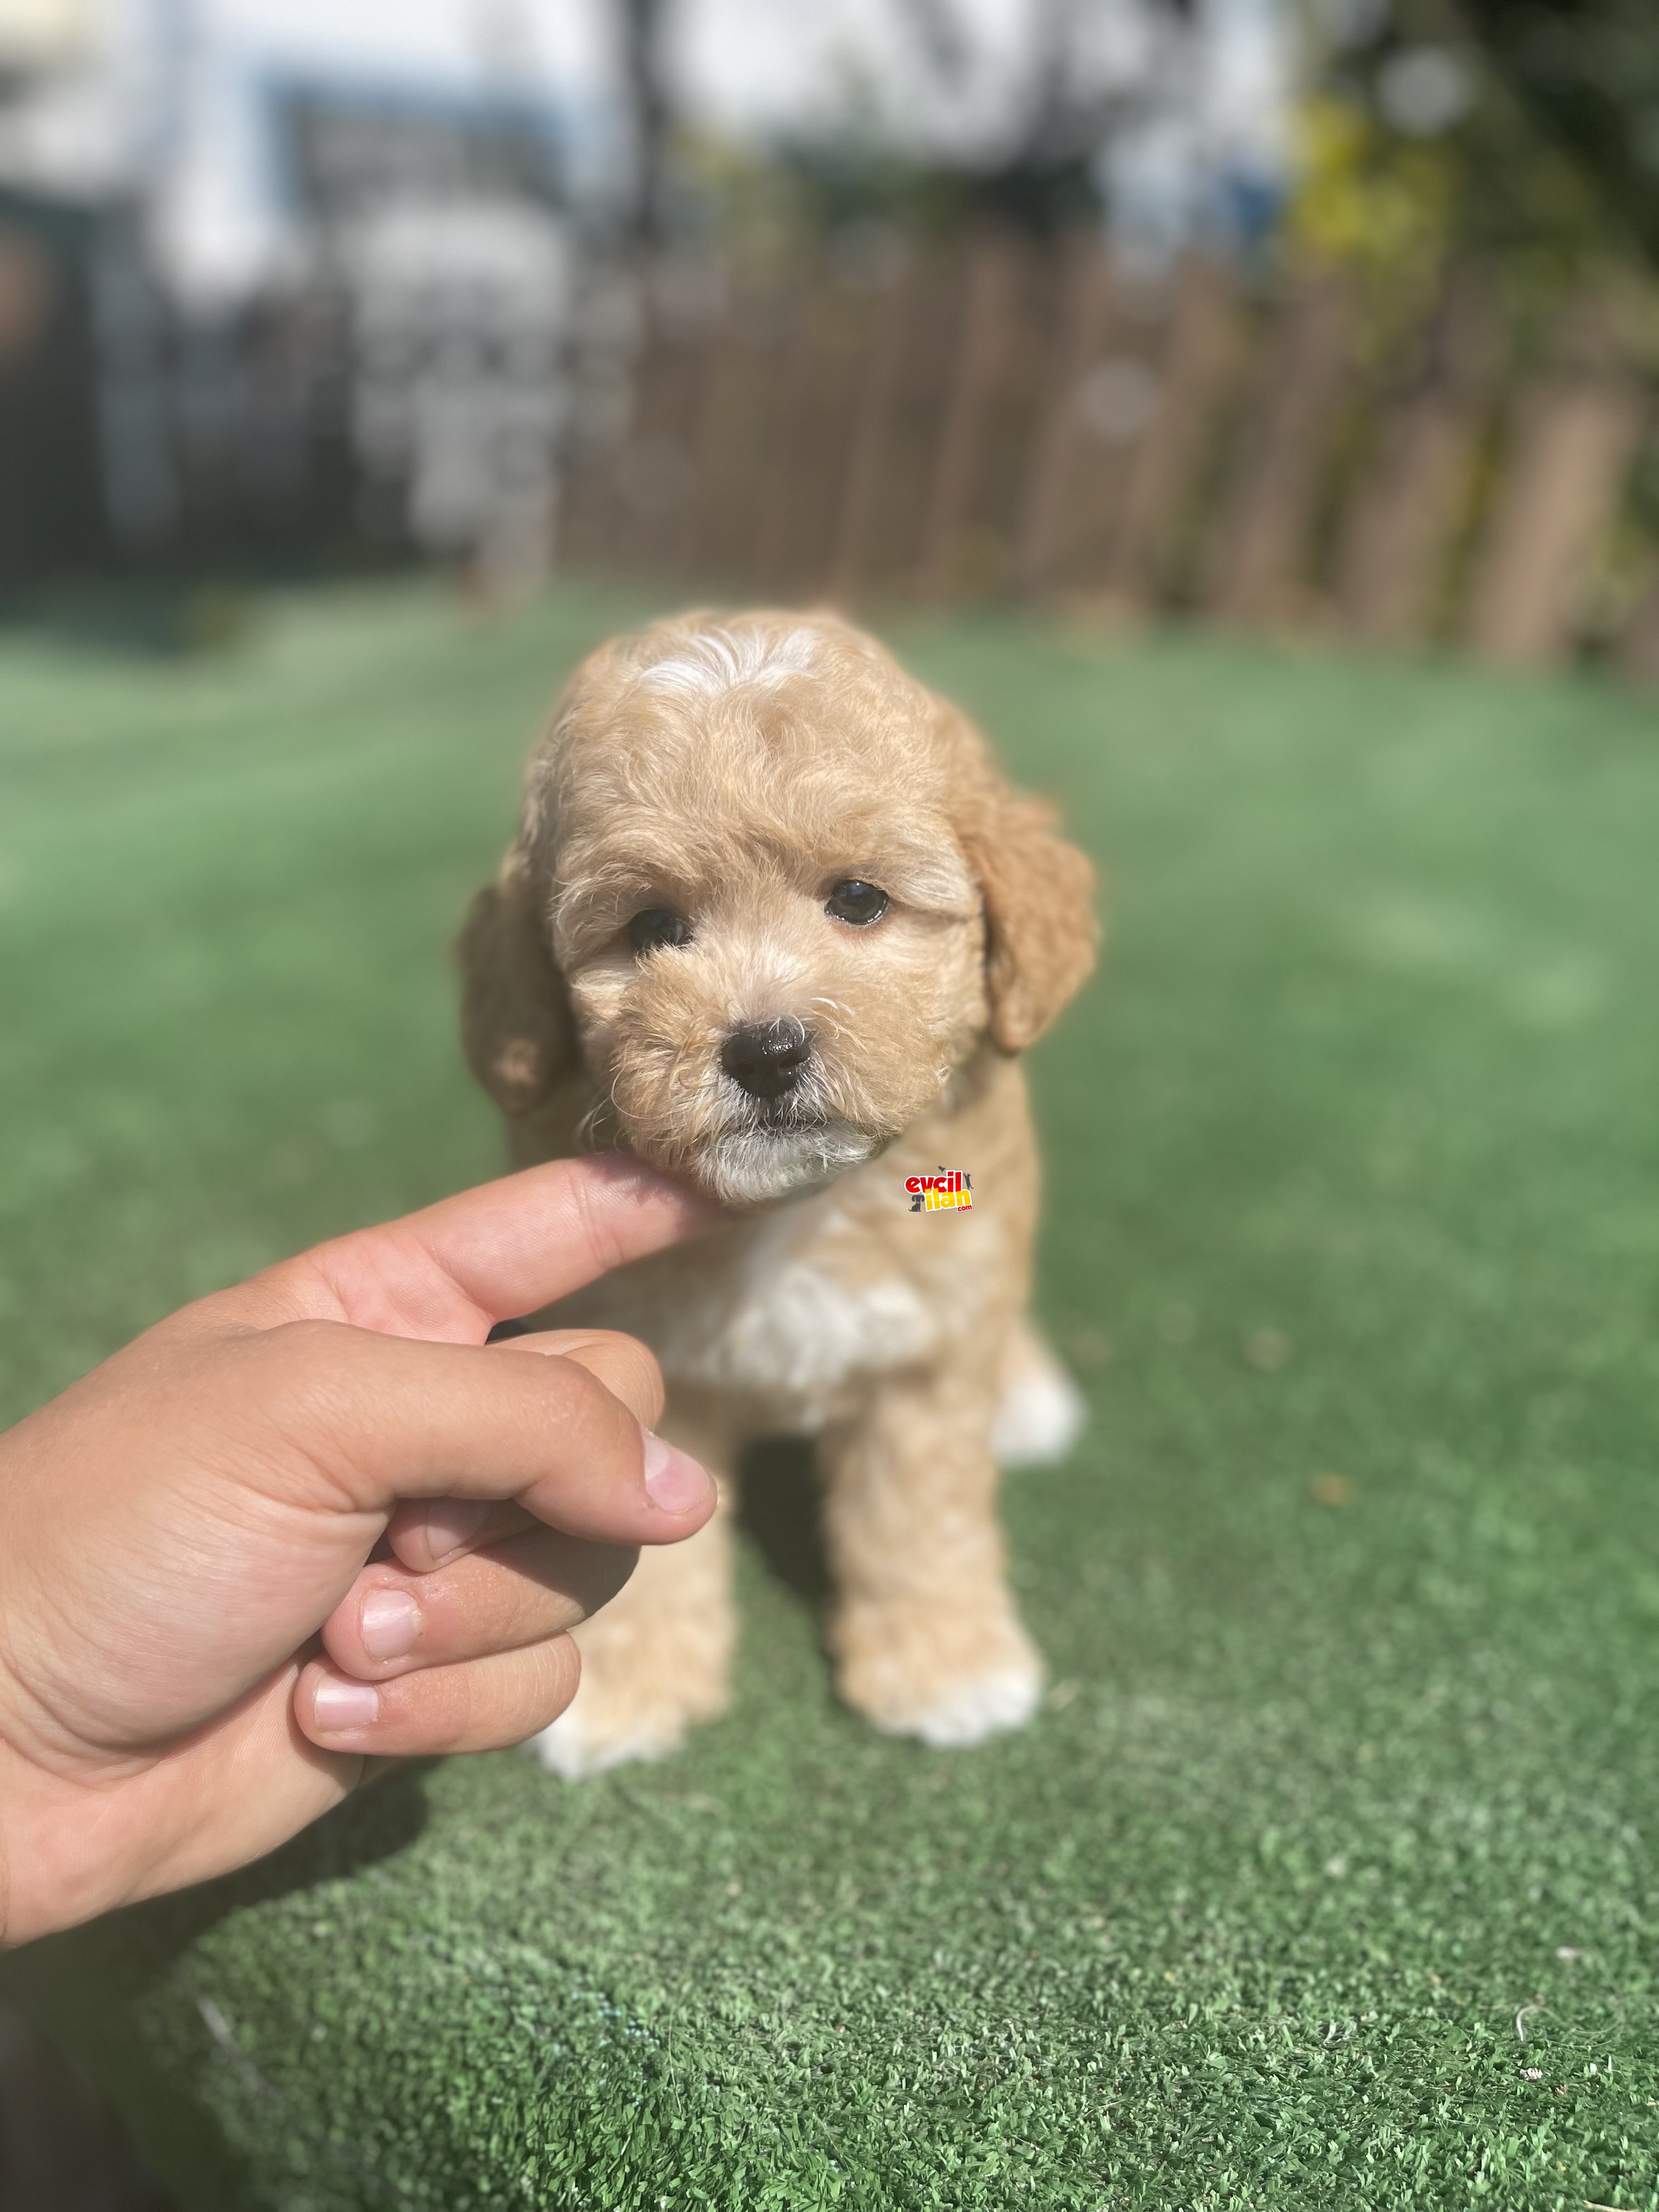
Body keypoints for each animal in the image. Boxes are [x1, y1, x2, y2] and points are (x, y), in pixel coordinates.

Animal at [462, 606, 1097, 1778]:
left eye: (858, 899)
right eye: (652, 928)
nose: (763, 1050)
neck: (794, 1211)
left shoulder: (926, 1344)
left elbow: (919, 1518)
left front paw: (945, 1664)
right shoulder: (641, 1363)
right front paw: (625, 1683)